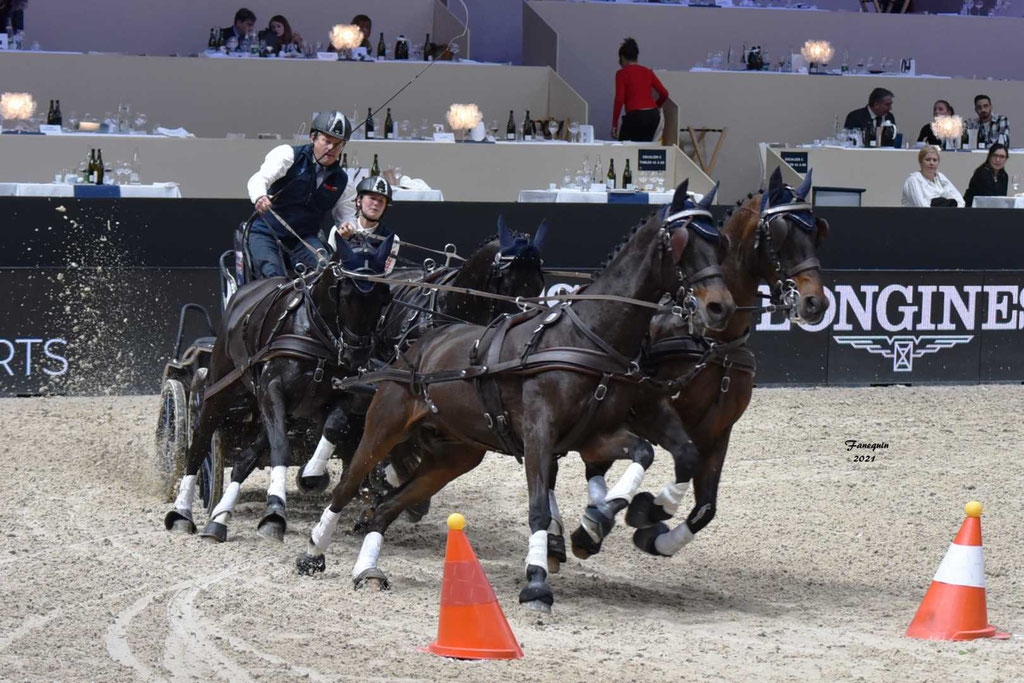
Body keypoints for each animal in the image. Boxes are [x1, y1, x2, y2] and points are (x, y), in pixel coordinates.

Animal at [165, 237, 393, 540]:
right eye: (343, 294)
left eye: (385, 296)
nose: (357, 355)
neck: (313, 329)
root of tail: (242, 295)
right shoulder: (272, 388)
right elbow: (281, 448)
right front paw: (274, 512)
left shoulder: (340, 395)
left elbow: (333, 429)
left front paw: (312, 473)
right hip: (220, 389)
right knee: (200, 443)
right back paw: (181, 512)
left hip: (269, 406)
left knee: (245, 459)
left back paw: (219, 519)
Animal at [296, 181, 737, 614]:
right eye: (682, 242)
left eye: (721, 243)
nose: (720, 307)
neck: (590, 336)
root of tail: (417, 347)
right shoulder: (540, 435)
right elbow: (539, 507)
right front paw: (538, 581)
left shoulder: (592, 436)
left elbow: (654, 453)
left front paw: (626, 513)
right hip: (383, 426)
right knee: (347, 486)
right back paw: (314, 552)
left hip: (454, 455)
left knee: (388, 506)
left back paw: (367, 570)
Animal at [569, 166, 831, 561]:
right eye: (782, 232)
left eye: (816, 231)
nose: (816, 303)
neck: (711, 342)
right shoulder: (651, 411)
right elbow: (685, 458)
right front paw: (650, 509)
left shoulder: (719, 431)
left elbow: (706, 506)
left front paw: (656, 536)